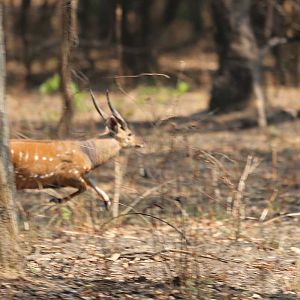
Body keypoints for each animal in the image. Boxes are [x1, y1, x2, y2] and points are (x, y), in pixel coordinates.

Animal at [9, 90, 143, 209]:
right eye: (129, 134)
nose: (140, 144)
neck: (88, 153)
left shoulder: (82, 174)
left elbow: (92, 182)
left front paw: (107, 202)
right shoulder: (68, 175)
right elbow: (84, 187)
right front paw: (56, 200)